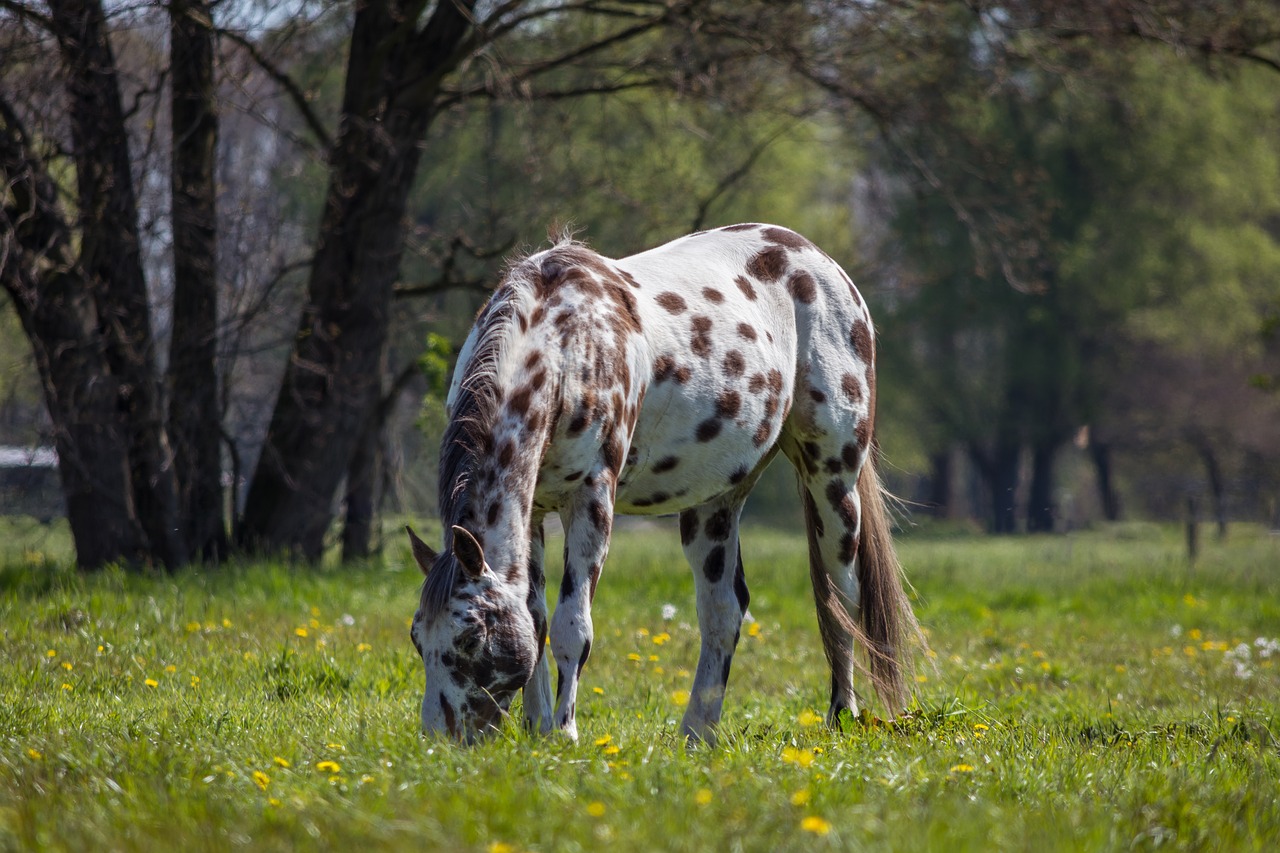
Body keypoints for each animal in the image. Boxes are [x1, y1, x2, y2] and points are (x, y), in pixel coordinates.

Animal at [404, 222, 916, 742]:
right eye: (416, 636)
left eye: (471, 637)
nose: (439, 740)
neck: (566, 345)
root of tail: (819, 261)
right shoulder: (533, 512)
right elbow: (536, 619)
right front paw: (537, 728)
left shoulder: (591, 499)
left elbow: (573, 628)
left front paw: (564, 734)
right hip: (716, 501)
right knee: (723, 612)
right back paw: (697, 734)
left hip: (833, 481)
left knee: (840, 600)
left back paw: (841, 715)